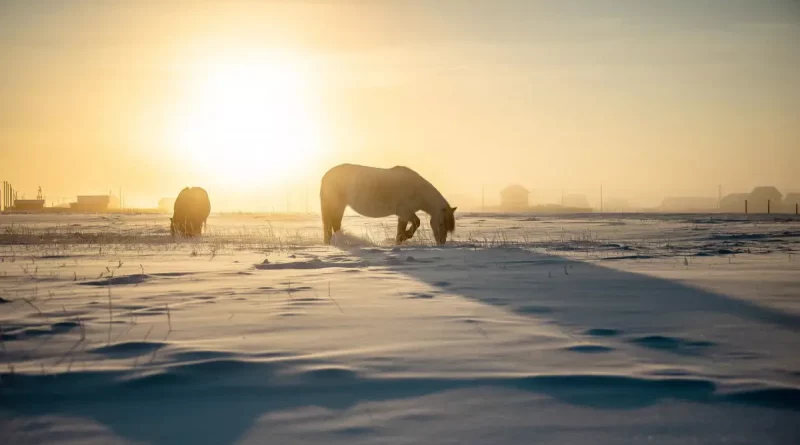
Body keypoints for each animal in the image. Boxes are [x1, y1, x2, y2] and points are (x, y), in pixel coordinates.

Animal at [318, 164, 456, 245]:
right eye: (441, 223)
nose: (441, 242)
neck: (418, 191)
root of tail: (326, 176)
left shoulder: (404, 214)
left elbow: (403, 227)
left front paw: (400, 240)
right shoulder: (405, 212)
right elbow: (416, 223)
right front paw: (404, 237)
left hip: (340, 206)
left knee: (335, 224)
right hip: (335, 205)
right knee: (330, 225)